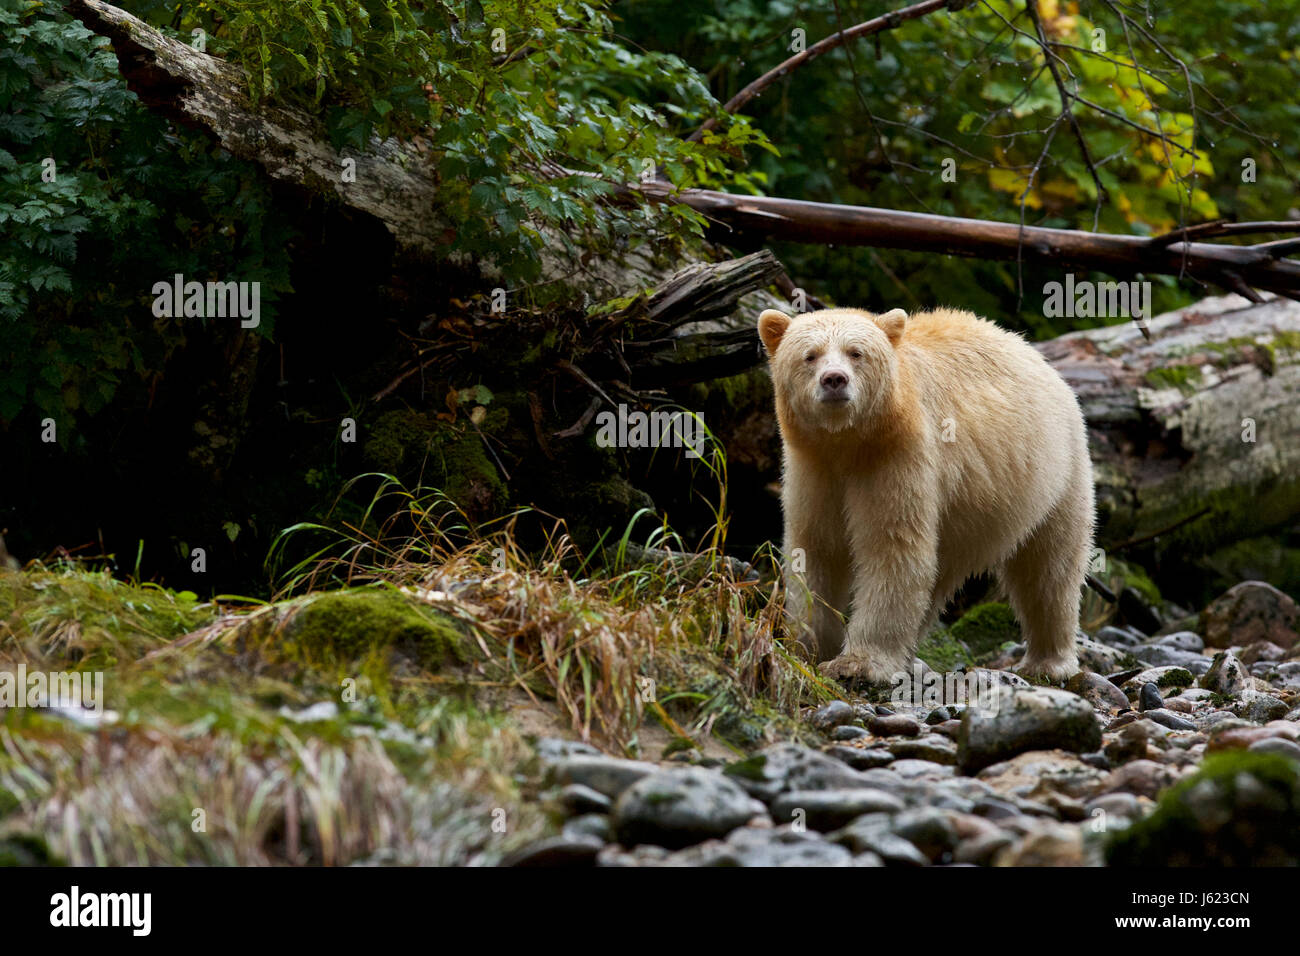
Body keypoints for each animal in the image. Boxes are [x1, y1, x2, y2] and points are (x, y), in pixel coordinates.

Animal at [759, 303, 1092, 686]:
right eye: (809, 355)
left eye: (856, 353)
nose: (834, 380)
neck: (848, 443)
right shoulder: (812, 467)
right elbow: (816, 549)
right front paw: (807, 648)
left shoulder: (899, 456)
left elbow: (893, 548)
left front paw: (858, 663)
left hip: (1058, 473)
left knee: (1050, 568)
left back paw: (1048, 661)